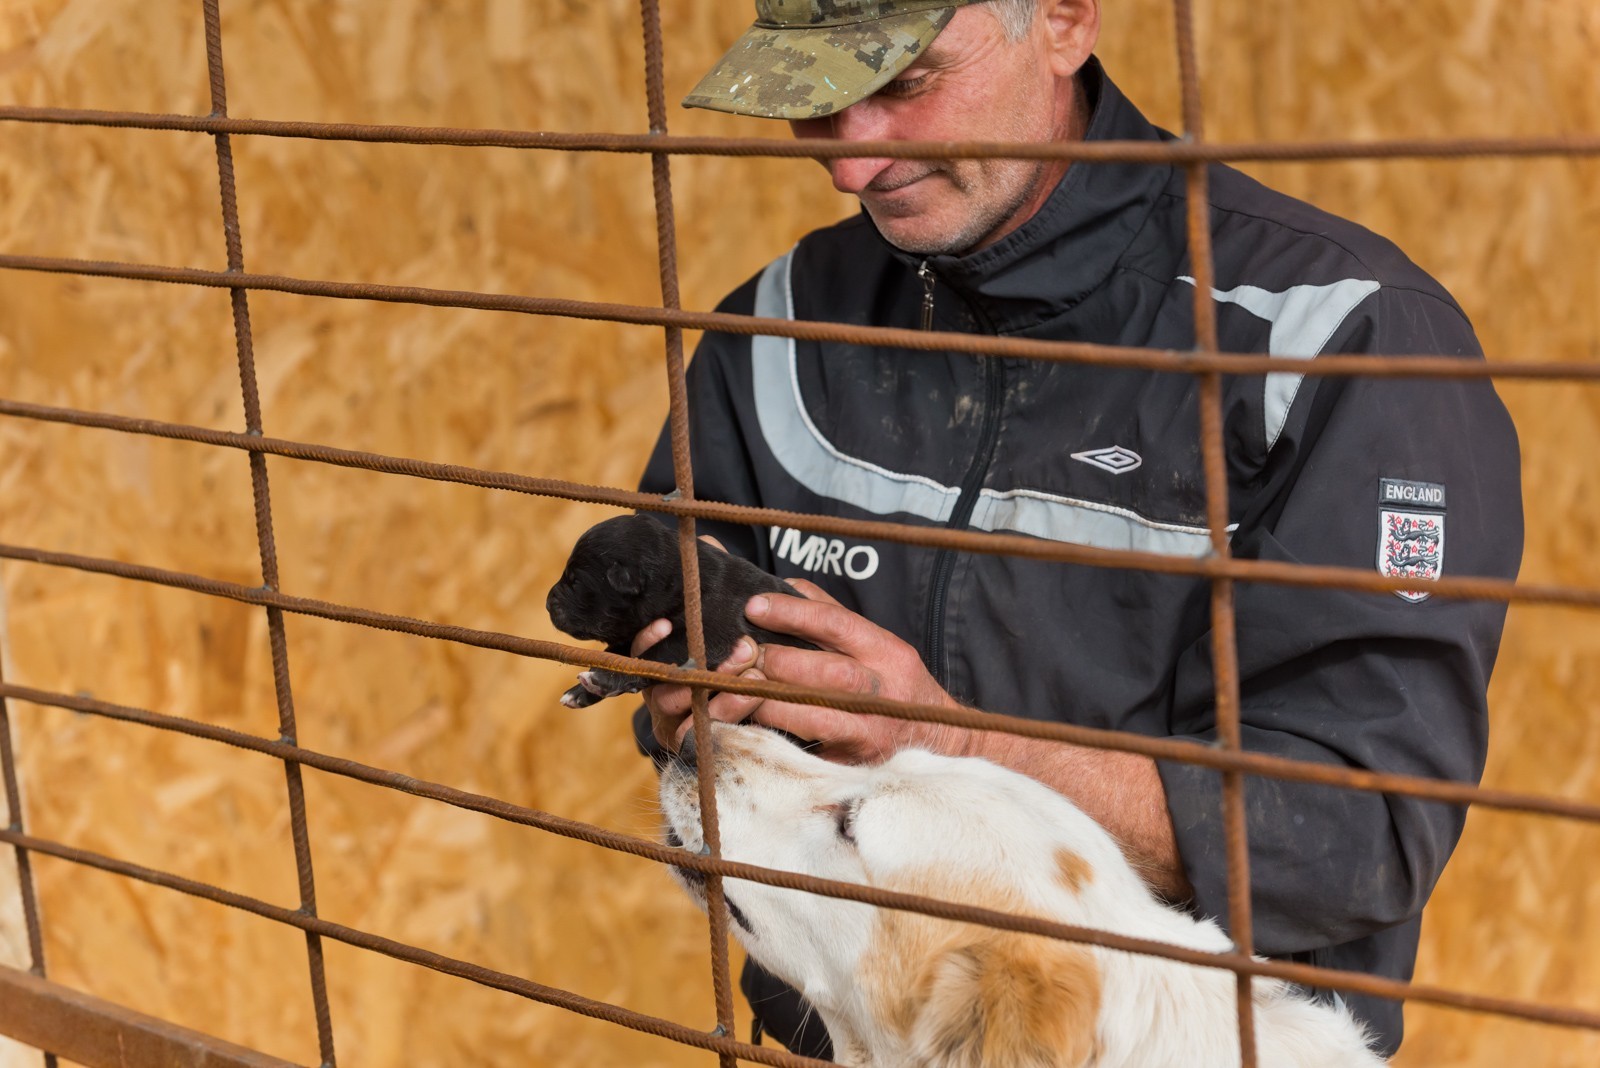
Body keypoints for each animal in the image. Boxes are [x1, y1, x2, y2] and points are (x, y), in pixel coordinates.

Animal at [547, 511, 819, 703]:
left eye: (576, 582)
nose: (548, 603)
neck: (675, 576)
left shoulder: (708, 631)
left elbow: (653, 655)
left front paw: (605, 678)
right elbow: (616, 652)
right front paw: (580, 691)